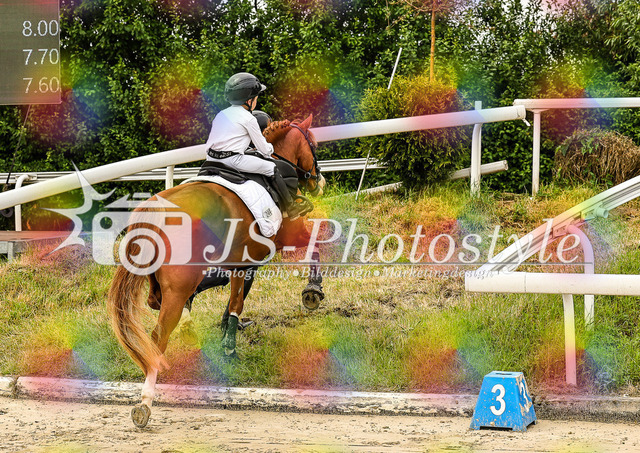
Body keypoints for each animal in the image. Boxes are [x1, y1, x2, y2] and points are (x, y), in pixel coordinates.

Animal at [107, 114, 325, 428]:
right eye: (314, 145)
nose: (320, 181)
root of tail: (154, 211)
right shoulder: (282, 237)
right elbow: (315, 243)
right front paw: (313, 289)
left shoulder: (238, 261)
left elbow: (233, 298)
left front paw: (225, 338)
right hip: (180, 283)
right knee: (159, 336)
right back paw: (145, 401)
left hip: (166, 281)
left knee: (160, 305)